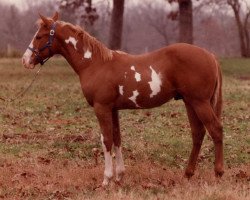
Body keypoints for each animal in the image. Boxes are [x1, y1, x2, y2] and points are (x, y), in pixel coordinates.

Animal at [22, 12, 224, 184]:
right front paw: (119, 176)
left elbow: (106, 140)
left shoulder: (102, 107)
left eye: (39, 36)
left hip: (200, 103)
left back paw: (218, 173)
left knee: (216, 130)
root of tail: (210, 55)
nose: (25, 60)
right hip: (190, 103)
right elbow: (117, 138)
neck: (95, 64)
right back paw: (188, 174)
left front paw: (106, 179)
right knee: (198, 134)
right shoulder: (113, 109)